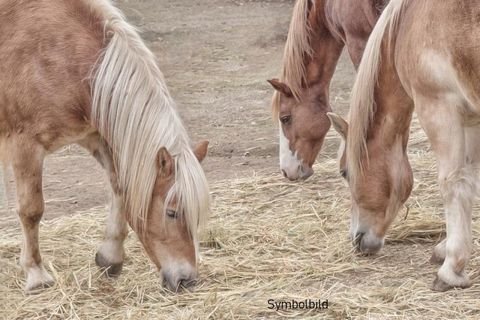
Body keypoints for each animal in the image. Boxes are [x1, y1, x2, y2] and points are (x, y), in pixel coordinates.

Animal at [0, 0, 210, 292]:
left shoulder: (94, 136)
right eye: (172, 212)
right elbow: (32, 210)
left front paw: (111, 257)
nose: (186, 280)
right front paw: (35, 274)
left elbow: (119, 187)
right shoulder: (26, 146)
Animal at [328, 0, 480, 292]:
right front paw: (446, 248)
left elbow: (453, 185)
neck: (409, 23)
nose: (357, 239)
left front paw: (451, 268)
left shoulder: (439, 108)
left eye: (344, 172)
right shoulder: (470, 118)